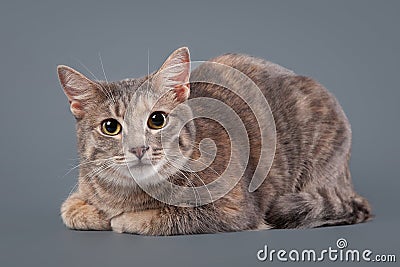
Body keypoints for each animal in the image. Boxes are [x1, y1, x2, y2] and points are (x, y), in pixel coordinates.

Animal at [57, 47, 372, 236]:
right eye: (111, 127)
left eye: (157, 120)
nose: (138, 148)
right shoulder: (80, 193)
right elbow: (69, 210)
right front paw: (97, 214)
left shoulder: (234, 210)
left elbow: (167, 216)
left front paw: (123, 219)